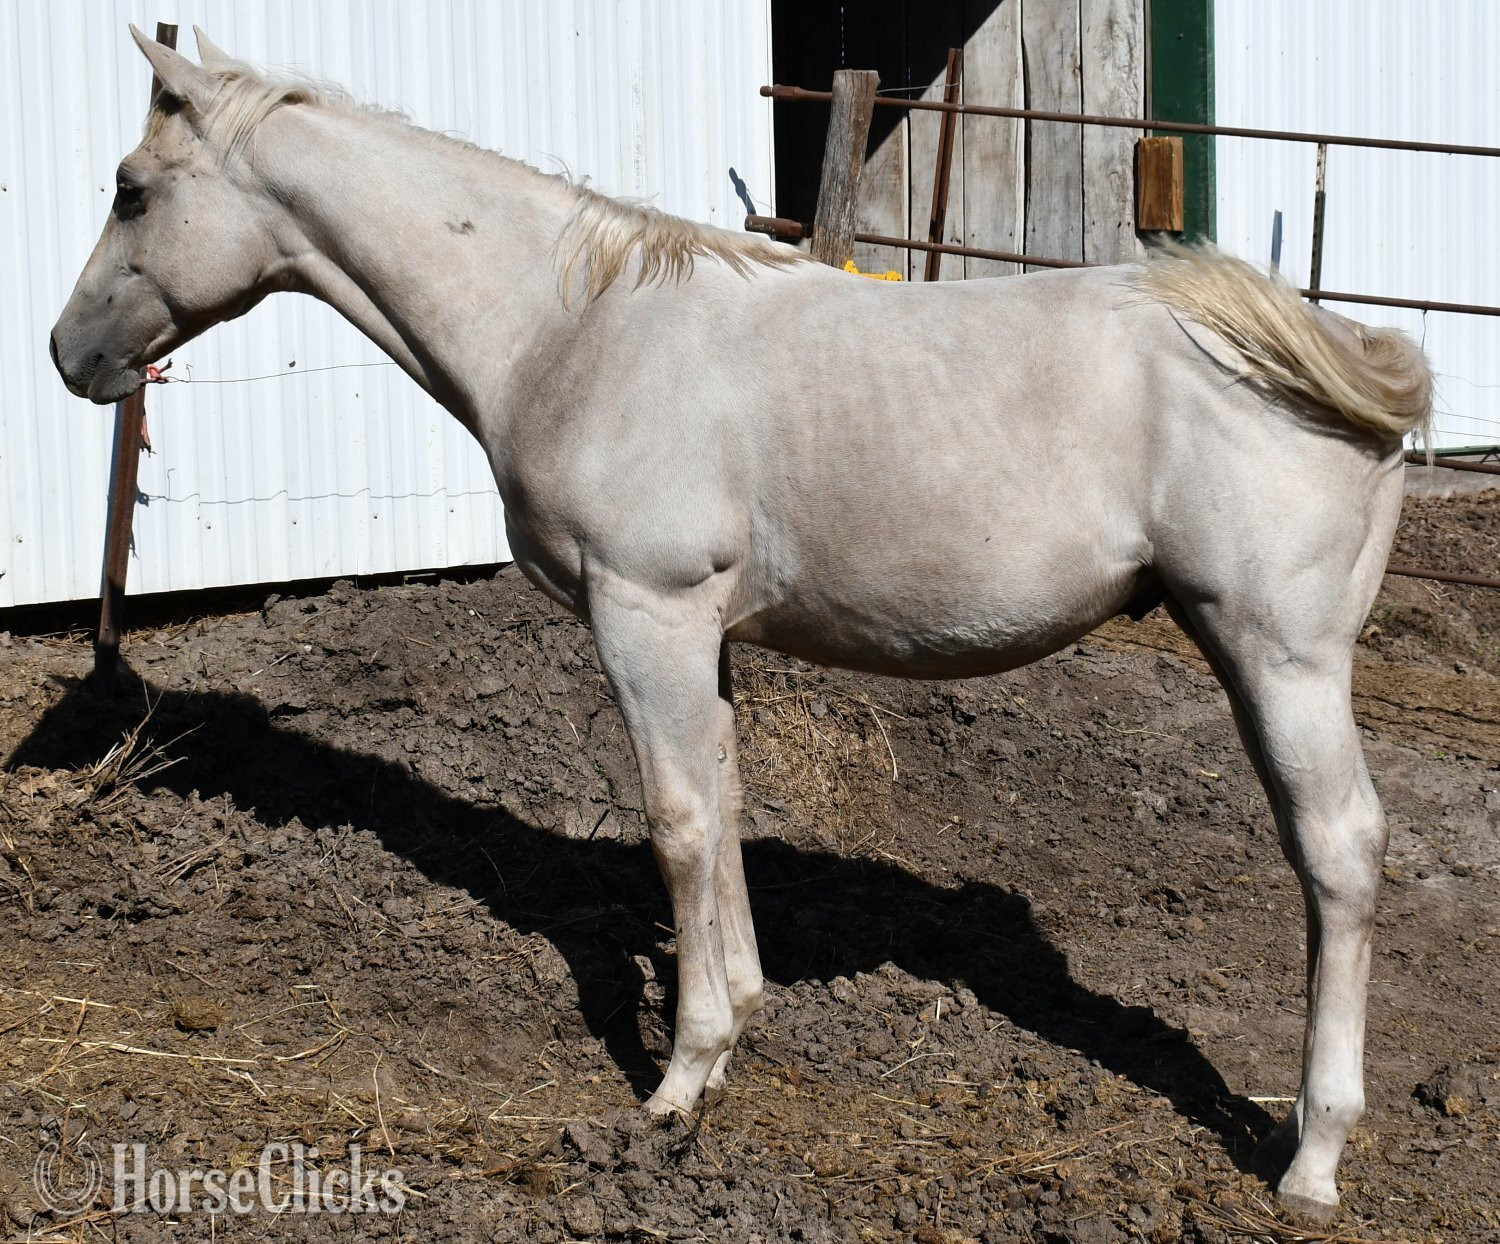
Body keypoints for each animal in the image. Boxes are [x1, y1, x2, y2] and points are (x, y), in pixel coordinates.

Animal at [50, 27, 1432, 1224]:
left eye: (130, 190)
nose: (68, 353)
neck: (569, 327)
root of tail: (1327, 348)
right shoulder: (701, 631)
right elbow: (721, 800)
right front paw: (737, 1026)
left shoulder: (643, 611)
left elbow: (675, 820)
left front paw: (676, 1083)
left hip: (1279, 658)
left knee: (1339, 853)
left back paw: (1312, 1157)